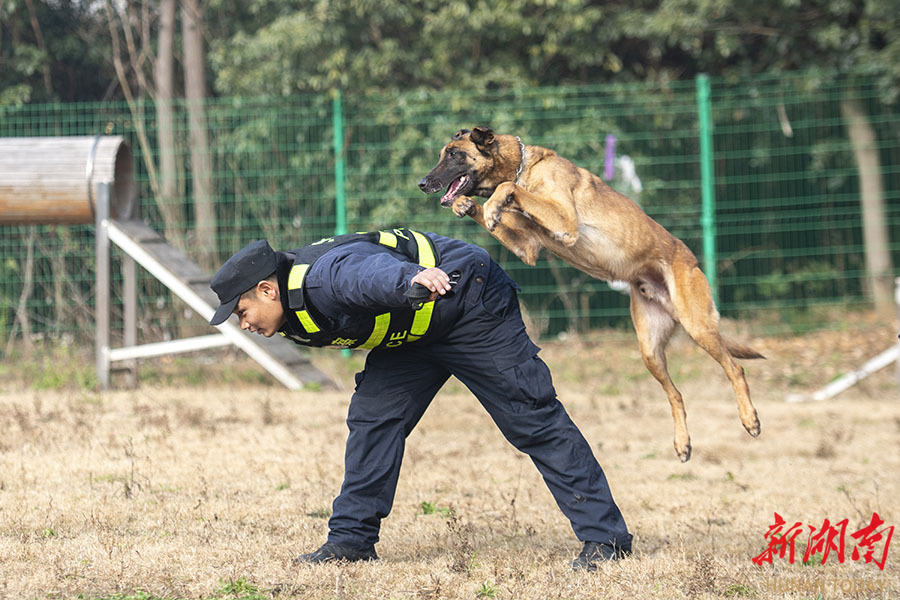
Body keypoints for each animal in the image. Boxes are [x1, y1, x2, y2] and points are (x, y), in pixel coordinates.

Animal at [419, 126, 762, 462]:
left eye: (454, 154)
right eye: (443, 154)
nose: (422, 183)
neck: (522, 167)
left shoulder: (564, 222)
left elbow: (508, 189)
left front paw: (492, 206)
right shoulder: (528, 247)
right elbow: (507, 206)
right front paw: (469, 206)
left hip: (698, 326)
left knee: (735, 368)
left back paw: (750, 419)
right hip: (650, 350)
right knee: (676, 394)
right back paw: (682, 443)